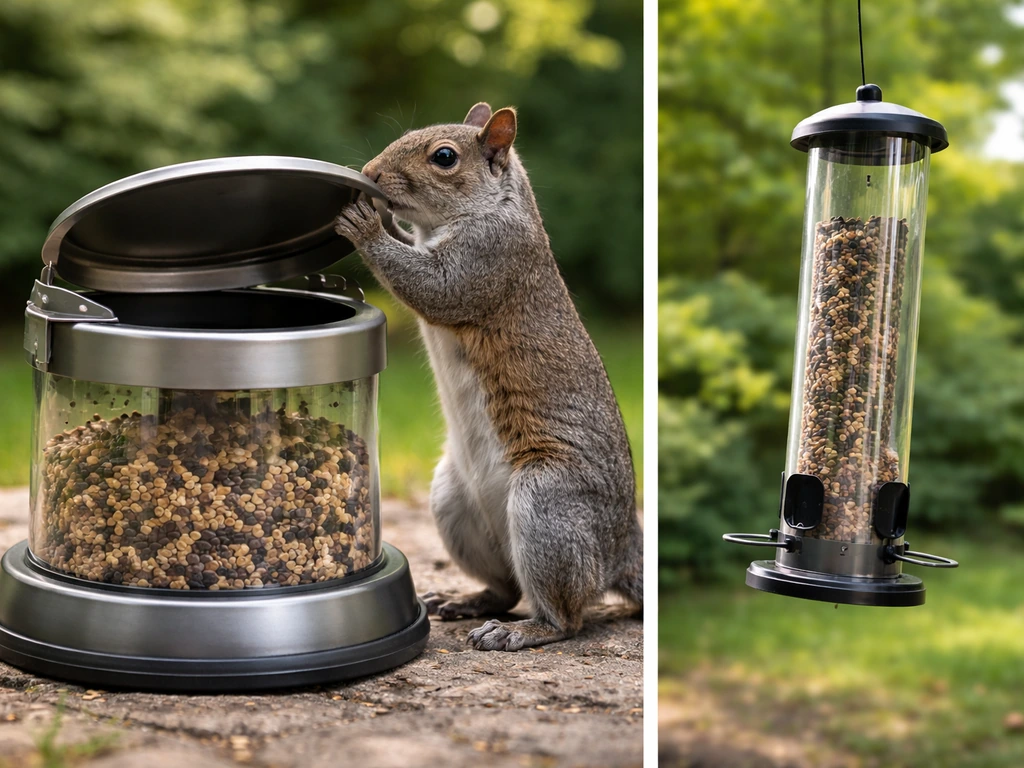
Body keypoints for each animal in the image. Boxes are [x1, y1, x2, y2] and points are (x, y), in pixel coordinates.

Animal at [335, 103, 642, 651]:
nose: (370, 174)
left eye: (444, 157)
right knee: (506, 587)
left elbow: (435, 287)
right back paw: (468, 601)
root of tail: (618, 551)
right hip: (452, 503)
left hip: (547, 506)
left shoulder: (490, 256)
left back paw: (522, 631)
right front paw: (383, 215)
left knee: (568, 617)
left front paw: (367, 225)